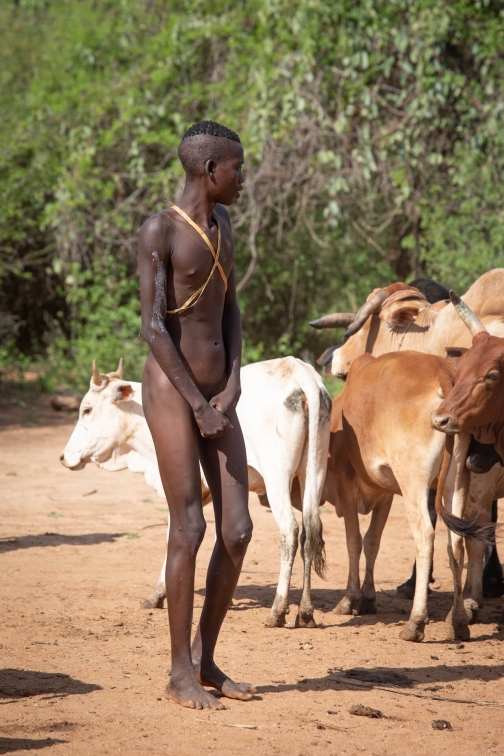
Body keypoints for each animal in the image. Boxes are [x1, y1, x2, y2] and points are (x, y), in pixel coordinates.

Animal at [61, 358, 332, 628]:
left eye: (87, 410)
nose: (64, 457)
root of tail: (300, 373)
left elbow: (173, 536)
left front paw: (158, 594)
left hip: (277, 473)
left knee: (290, 531)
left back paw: (278, 610)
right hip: (314, 469)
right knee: (309, 533)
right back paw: (305, 612)